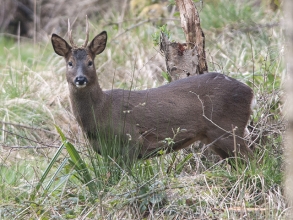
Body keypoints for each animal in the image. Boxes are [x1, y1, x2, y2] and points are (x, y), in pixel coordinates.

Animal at [52, 18, 253, 162]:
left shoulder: (131, 140)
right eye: (70, 63)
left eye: (90, 62)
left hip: (228, 127)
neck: (101, 111)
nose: (80, 79)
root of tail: (249, 92)